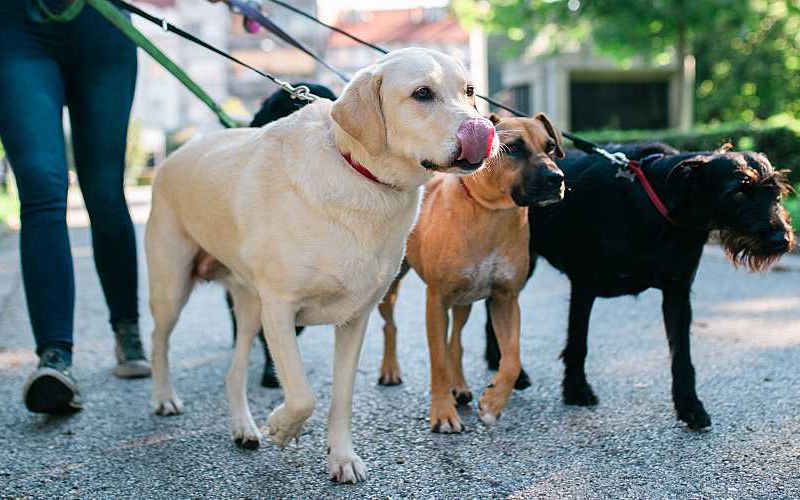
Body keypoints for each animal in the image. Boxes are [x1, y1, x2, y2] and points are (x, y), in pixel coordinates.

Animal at [378, 114, 564, 434]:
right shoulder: (436, 300)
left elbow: (511, 359)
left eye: (550, 146)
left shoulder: (506, 299)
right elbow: (437, 361)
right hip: (391, 289)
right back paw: (390, 370)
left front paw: (492, 404)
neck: (491, 213)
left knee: (456, 341)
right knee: (391, 326)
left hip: (464, 300)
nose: (557, 178)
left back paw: (460, 387)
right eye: (514, 148)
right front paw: (443, 414)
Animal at [488, 142, 792, 430]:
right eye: (739, 192)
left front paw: (690, 406)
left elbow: (682, 357)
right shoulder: (584, 286)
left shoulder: (677, 293)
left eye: (775, 194)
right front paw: (576, 390)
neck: (658, 205)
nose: (782, 239)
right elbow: (577, 343)